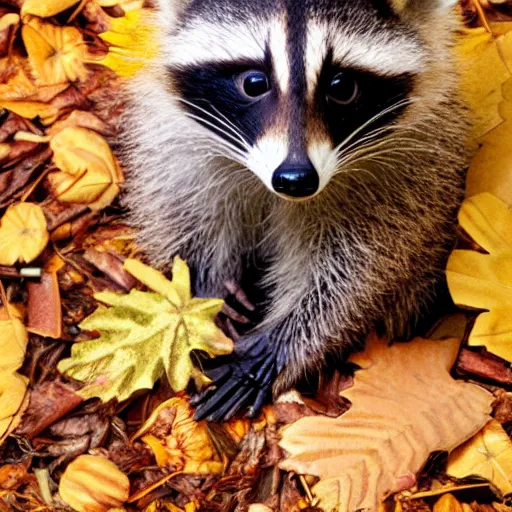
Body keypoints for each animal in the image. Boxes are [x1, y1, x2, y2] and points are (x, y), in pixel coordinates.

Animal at [119, 0, 468, 422]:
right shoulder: (179, 146)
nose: (295, 178)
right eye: (254, 83)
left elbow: (358, 275)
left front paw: (279, 348)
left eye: (341, 87)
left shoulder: (406, 174)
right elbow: (181, 219)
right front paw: (200, 299)